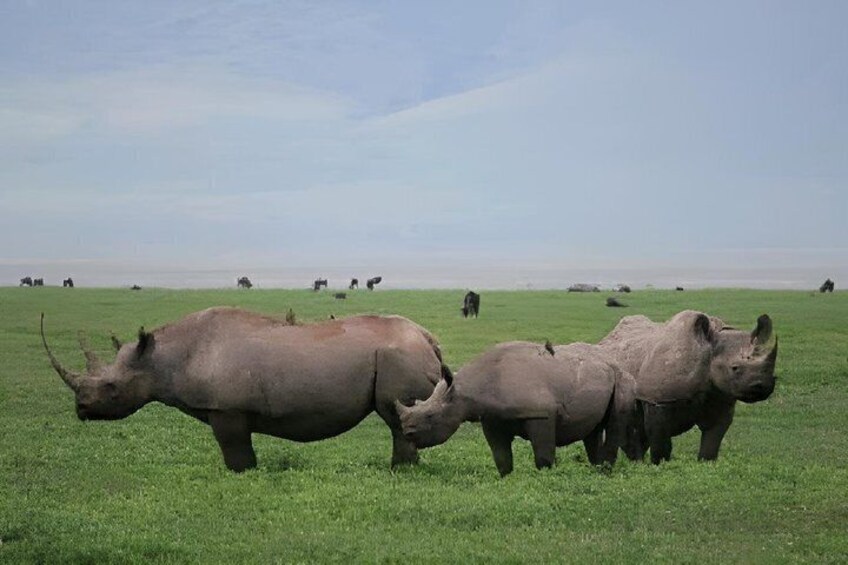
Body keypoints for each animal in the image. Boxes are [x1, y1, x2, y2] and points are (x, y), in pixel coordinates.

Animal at [41, 307, 445, 472]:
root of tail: (427, 337)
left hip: (398, 354)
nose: (81, 409)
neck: (163, 359)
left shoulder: (226, 409)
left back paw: (399, 472)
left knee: (397, 416)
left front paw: (243, 475)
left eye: (111, 388)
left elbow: (236, 452)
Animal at [395, 341, 638, 476]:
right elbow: (501, 457)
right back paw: (596, 470)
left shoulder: (541, 415)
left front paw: (545, 478)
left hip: (623, 378)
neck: (465, 390)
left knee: (615, 423)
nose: (406, 432)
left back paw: (604, 473)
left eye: (430, 416)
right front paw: (506, 479)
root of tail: (613, 362)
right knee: (593, 430)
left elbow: (543, 457)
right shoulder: (492, 419)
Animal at [598, 310, 778, 464]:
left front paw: (705, 464)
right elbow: (661, 445)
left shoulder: (719, 398)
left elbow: (711, 444)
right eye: (734, 368)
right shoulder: (657, 400)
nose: (762, 386)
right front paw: (659, 467)